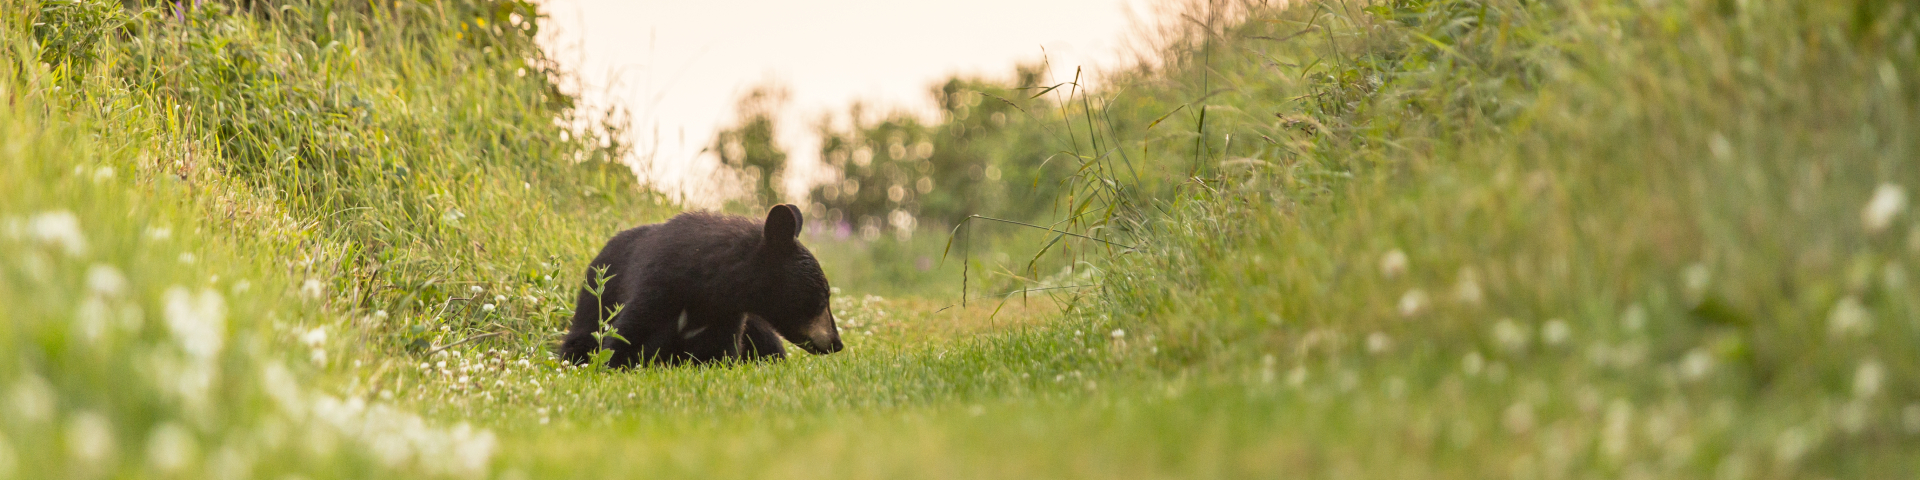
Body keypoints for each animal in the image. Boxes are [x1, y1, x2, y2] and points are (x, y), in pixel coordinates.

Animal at [560, 204, 848, 364]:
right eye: (822, 297)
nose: (836, 343)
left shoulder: (729, 317)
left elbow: (720, 354)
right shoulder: (657, 286)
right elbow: (624, 339)